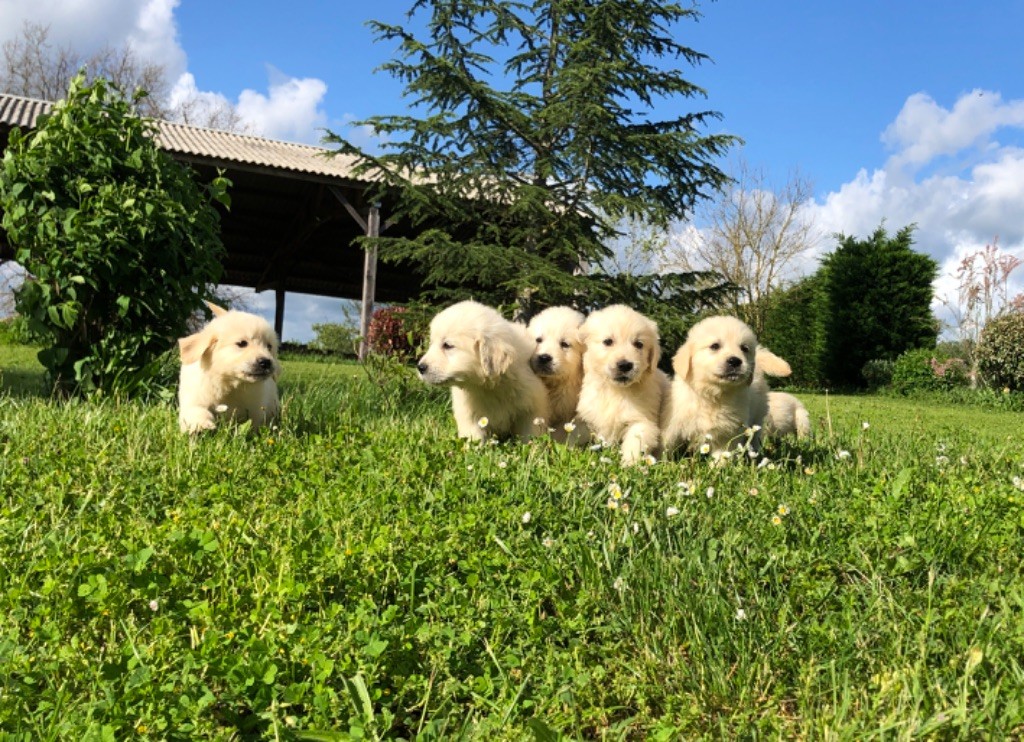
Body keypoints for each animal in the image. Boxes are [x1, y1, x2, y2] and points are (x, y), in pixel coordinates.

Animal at [177, 300, 280, 431]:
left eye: (269, 346)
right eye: (242, 343)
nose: (266, 362)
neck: (229, 383)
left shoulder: (256, 408)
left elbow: (253, 424)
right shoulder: (194, 396)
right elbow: (196, 410)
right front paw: (201, 425)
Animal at [413, 298, 548, 440]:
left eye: (447, 345)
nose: (420, 367)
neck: (488, 386)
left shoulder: (530, 410)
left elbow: (529, 435)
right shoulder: (469, 415)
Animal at [577, 302, 671, 462]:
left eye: (639, 344)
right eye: (608, 341)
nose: (625, 365)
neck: (615, 391)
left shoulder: (642, 421)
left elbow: (634, 444)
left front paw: (629, 464)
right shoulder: (588, 418)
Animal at [663, 315, 790, 460]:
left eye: (744, 348)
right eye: (715, 346)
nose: (735, 361)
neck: (713, 395)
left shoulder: (727, 434)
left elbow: (722, 455)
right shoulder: (673, 426)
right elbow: (667, 447)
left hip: (757, 418)